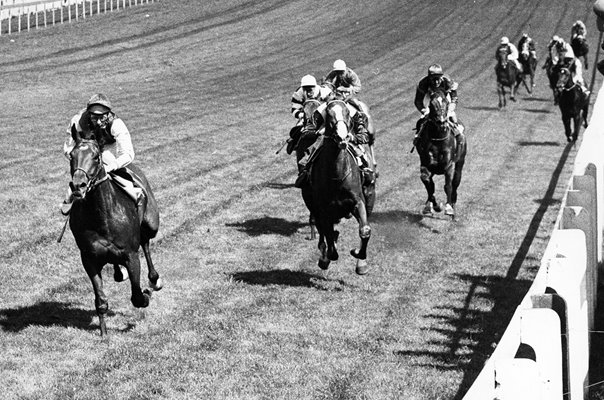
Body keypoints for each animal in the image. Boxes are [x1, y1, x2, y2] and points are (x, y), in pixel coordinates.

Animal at [68, 127, 162, 334]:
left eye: (96, 157)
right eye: (71, 155)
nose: (78, 185)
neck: (101, 214)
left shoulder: (131, 255)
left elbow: (137, 297)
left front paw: (146, 293)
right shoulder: (89, 259)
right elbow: (101, 300)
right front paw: (104, 334)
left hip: (151, 223)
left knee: (146, 241)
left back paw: (154, 280)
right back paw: (121, 273)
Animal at [300, 99, 372, 276]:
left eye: (347, 113)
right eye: (329, 115)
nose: (342, 136)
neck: (337, 174)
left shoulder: (357, 201)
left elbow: (365, 230)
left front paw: (359, 256)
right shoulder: (323, 209)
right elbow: (330, 245)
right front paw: (326, 258)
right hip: (314, 207)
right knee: (323, 232)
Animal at [416, 91, 468, 219]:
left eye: (446, 102)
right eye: (431, 104)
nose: (441, 121)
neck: (437, 138)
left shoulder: (449, 166)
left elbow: (448, 185)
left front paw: (448, 208)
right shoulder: (426, 164)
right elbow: (428, 183)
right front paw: (434, 206)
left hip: (460, 163)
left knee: (455, 183)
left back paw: (453, 208)